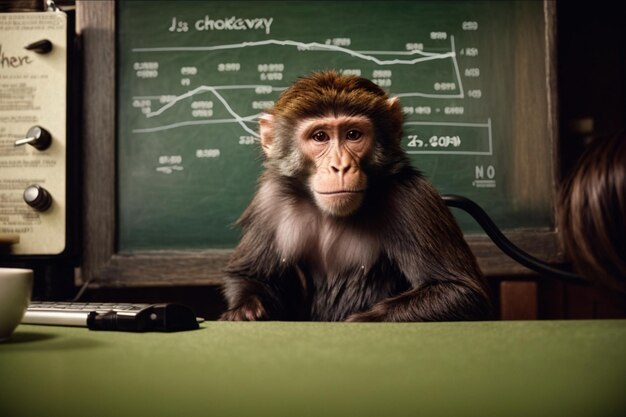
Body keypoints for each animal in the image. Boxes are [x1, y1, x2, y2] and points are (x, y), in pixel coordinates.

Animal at [219, 70, 492, 322]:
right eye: (320, 136)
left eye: (353, 134)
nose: (340, 166)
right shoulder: (270, 200)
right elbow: (248, 274)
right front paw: (245, 310)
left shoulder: (413, 198)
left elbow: (459, 291)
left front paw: (359, 321)